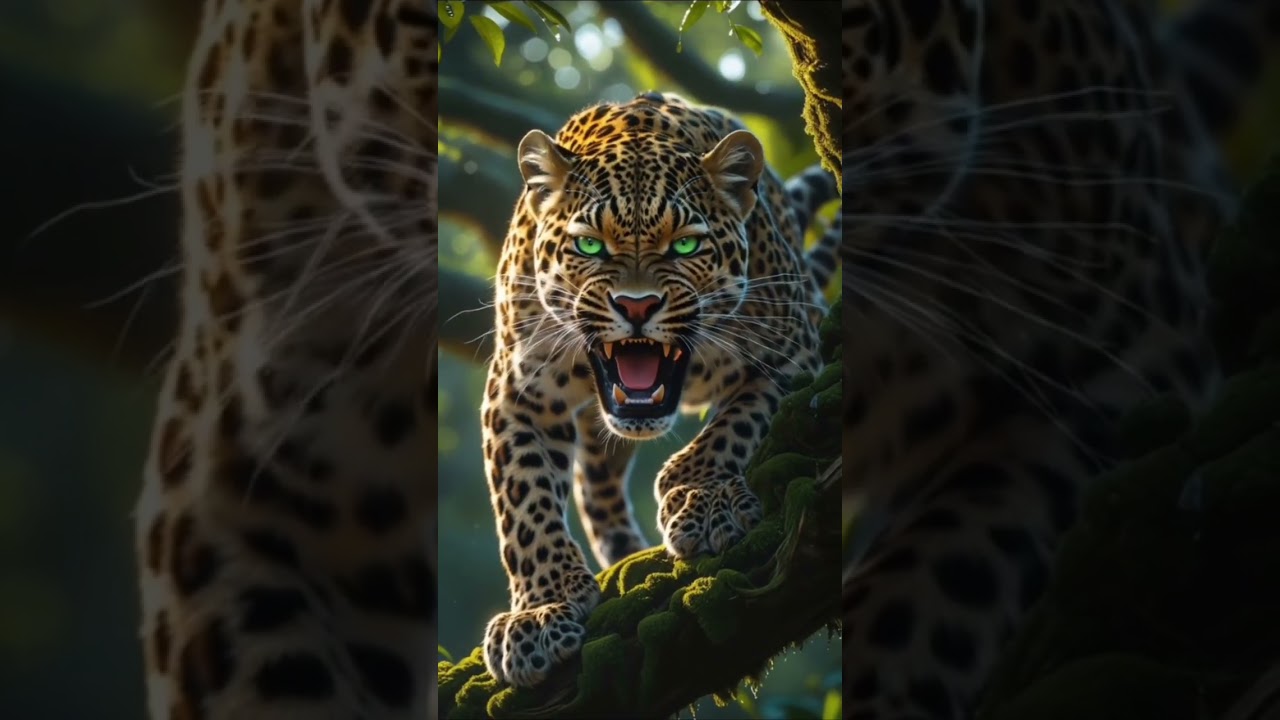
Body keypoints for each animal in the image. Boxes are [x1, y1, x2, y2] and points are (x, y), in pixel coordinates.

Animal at [478, 91, 840, 688]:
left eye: (686, 244)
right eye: (589, 245)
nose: (637, 306)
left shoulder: (790, 354)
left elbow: (735, 425)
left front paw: (703, 498)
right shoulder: (517, 389)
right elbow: (524, 502)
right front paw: (540, 609)